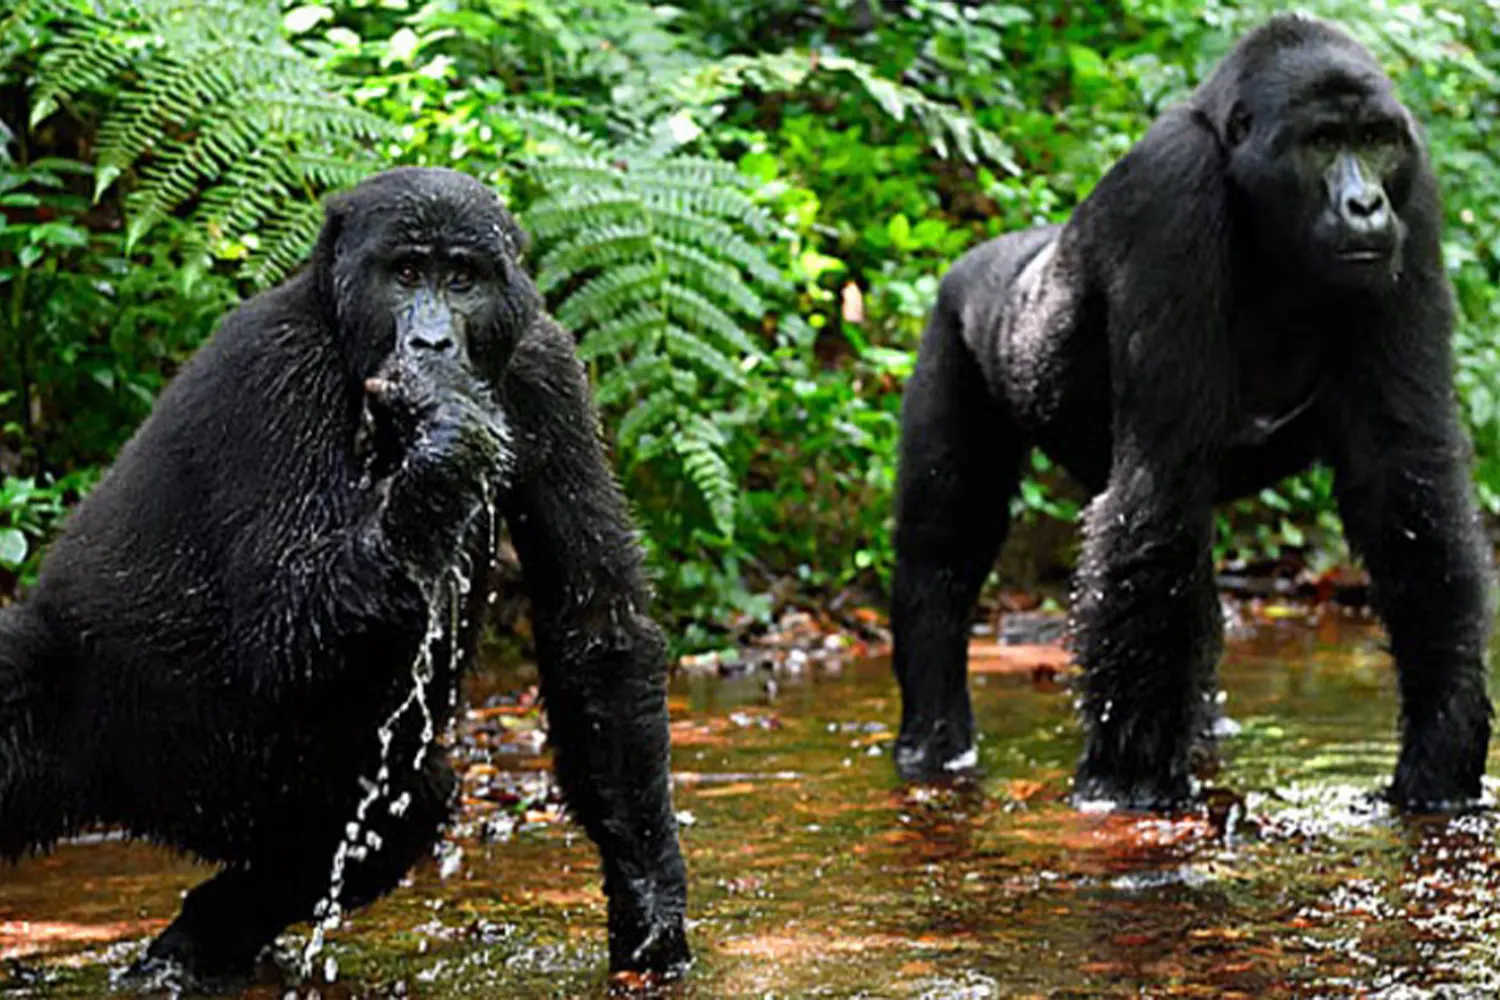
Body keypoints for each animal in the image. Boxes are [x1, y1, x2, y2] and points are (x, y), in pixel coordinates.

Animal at [0, 167, 687, 983]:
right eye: (406, 274)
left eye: (461, 278)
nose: (431, 341)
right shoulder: (273, 368)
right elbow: (281, 625)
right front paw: (447, 445)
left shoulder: (546, 367)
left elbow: (597, 626)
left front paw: (648, 894)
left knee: (401, 808)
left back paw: (197, 942)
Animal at [894, 15, 1494, 815]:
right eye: (1321, 142)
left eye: (1376, 139)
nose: (1366, 206)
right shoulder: (1170, 193)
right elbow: (1158, 490)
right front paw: (1129, 780)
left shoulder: (1416, 199)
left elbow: (1404, 475)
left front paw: (1441, 750)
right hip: (958, 318)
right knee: (944, 545)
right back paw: (935, 742)